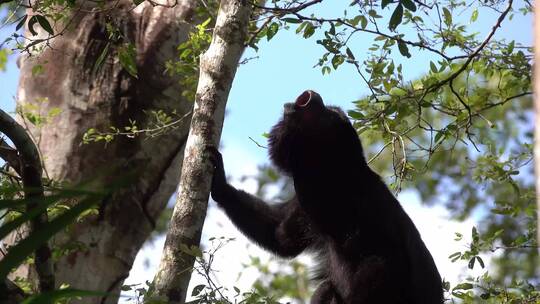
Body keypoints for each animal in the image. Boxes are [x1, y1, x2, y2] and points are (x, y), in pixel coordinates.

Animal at [207, 90, 442, 304]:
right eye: (333, 110)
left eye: (329, 115)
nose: (315, 97)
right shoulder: (305, 205)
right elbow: (281, 235)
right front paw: (221, 185)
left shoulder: (324, 193)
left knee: (357, 274)